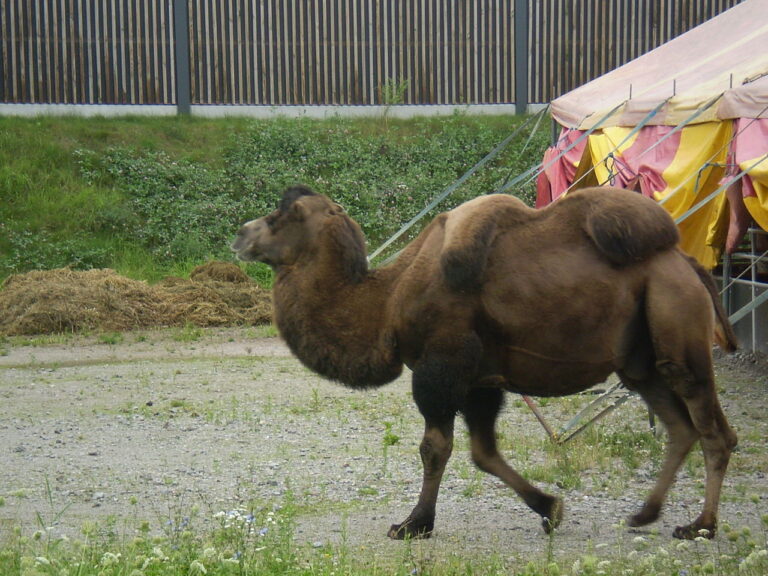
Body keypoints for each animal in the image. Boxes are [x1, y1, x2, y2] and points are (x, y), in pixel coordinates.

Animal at [232, 184, 738, 540]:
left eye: (279, 217)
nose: (240, 233)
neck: (388, 300)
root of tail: (688, 264)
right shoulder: (480, 379)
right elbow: (483, 452)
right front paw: (550, 508)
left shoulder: (441, 365)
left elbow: (435, 447)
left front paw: (413, 524)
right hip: (641, 362)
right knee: (680, 427)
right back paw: (645, 513)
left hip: (678, 327)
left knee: (714, 430)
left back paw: (700, 526)